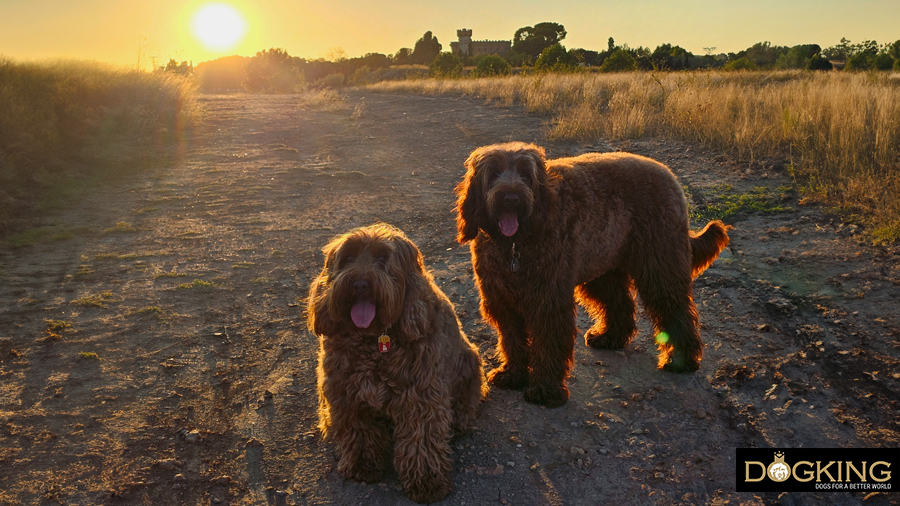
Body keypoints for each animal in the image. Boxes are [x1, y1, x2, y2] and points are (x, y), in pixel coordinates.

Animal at [306, 226, 486, 506]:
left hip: (470, 363)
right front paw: (362, 465)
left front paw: (426, 481)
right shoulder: (345, 391)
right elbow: (359, 431)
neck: (374, 339)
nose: (360, 284)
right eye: (347, 258)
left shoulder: (421, 396)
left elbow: (421, 440)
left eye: (383, 259)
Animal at [458, 141, 732, 408]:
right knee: (620, 303)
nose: (511, 198)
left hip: (660, 267)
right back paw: (610, 337)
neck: (514, 245)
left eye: (526, 174)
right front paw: (513, 374)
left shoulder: (548, 300)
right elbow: (512, 340)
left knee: (676, 311)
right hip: (603, 268)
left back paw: (681, 359)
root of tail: (669, 175)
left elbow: (548, 343)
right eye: (494, 173)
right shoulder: (502, 300)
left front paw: (546, 389)